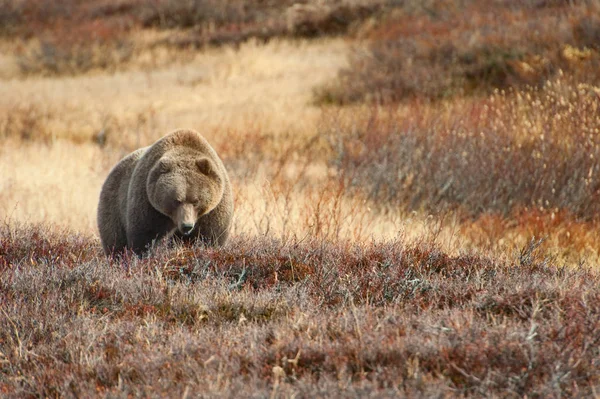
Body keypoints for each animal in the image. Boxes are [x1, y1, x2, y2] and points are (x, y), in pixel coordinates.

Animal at [97, 130, 233, 258]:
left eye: (196, 201)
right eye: (176, 200)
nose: (187, 226)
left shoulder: (213, 211)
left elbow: (210, 237)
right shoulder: (149, 204)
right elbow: (145, 237)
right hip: (114, 205)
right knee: (115, 241)